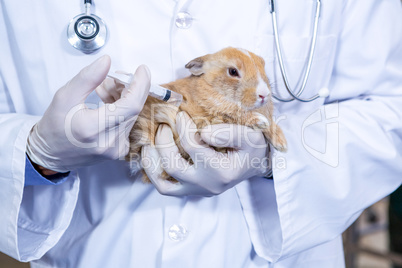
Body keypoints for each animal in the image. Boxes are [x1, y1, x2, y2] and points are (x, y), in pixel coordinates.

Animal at [127, 47, 288, 183]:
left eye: (263, 67)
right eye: (233, 71)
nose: (264, 94)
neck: (215, 90)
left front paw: (281, 144)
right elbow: (239, 115)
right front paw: (261, 122)